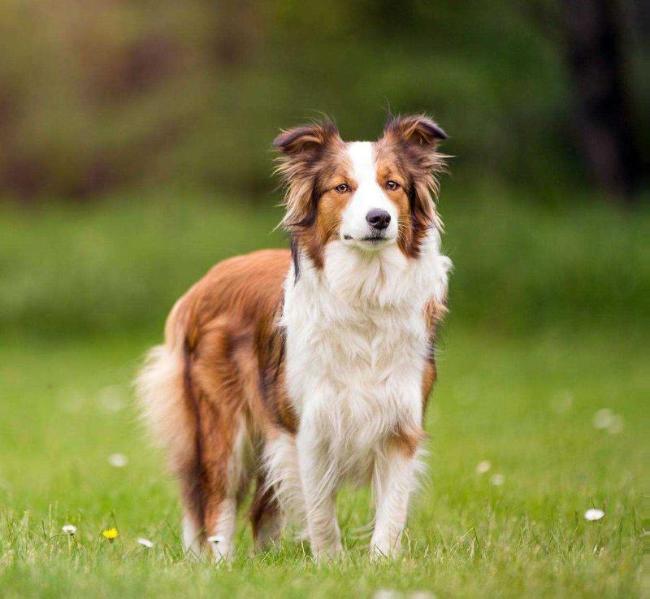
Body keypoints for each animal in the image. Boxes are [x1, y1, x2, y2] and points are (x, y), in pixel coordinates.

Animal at [135, 113, 450, 564]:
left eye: (392, 185)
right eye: (342, 187)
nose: (379, 219)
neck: (365, 290)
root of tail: (205, 282)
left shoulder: (400, 424)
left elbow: (391, 511)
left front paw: (381, 565)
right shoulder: (309, 427)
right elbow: (320, 512)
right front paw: (331, 564)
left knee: (261, 508)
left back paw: (266, 560)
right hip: (223, 424)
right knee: (217, 500)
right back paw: (222, 564)